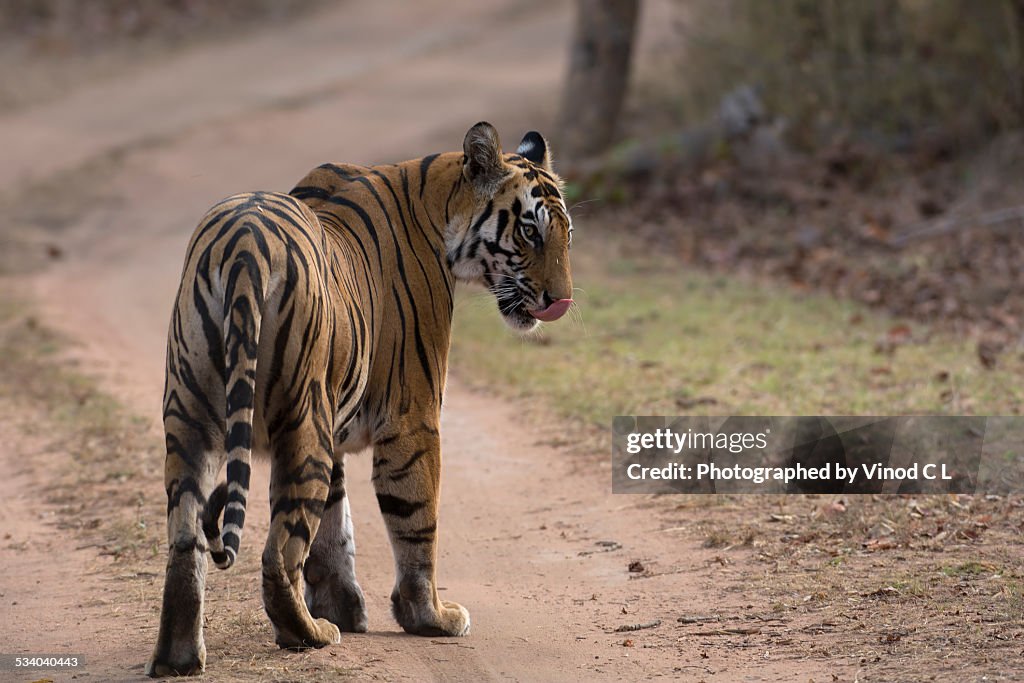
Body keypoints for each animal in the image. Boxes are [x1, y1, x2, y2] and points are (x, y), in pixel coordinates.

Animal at [146, 122, 574, 676]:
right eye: (529, 232)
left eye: (566, 234)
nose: (561, 300)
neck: (438, 202)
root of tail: (244, 245)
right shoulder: (413, 417)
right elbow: (416, 522)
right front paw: (428, 616)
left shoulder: (339, 420)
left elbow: (334, 526)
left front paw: (343, 606)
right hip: (302, 420)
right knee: (278, 552)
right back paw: (308, 634)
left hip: (192, 417)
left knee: (186, 539)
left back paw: (180, 657)